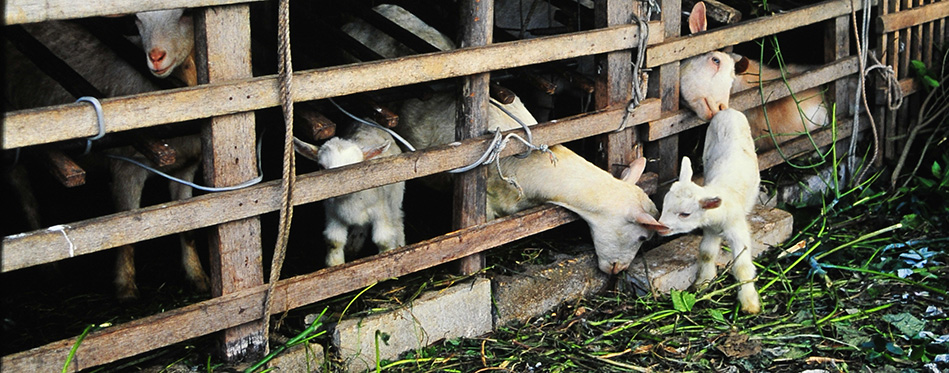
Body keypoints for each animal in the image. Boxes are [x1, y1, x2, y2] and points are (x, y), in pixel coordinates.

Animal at [3, 9, 205, 300]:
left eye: (186, 14)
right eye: (138, 20)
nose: (155, 56)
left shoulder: (187, 167)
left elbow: (189, 225)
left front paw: (197, 278)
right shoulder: (128, 168)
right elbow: (127, 227)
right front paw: (125, 288)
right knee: (24, 192)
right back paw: (49, 268)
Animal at [296, 123, 404, 266]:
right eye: (321, 166)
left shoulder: (381, 211)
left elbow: (383, 239)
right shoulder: (333, 214)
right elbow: (334, 241)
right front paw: (336, 264)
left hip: (395, 196)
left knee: (397, 218)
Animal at [652, 108, 764, 314]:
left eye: (685, 214)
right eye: (664, 205)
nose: (660, 227)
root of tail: (728, 110)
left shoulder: (737, 230)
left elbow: (742, 266)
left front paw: (749, 303)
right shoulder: (711, 229)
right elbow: (706, 253)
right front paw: (703, 282)